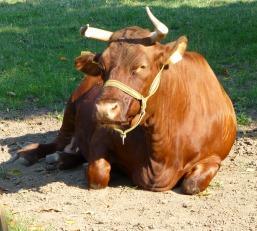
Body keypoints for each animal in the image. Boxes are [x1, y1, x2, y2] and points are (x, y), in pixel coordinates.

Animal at [16, 7, 236, 193]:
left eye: (141, 66)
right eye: (102, 66)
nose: (104, 109)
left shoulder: (214, 157)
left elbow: (192, 184)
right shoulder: (101, 136)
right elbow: (98, 175)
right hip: (70, 107)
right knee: (58, 141)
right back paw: (35, 155)